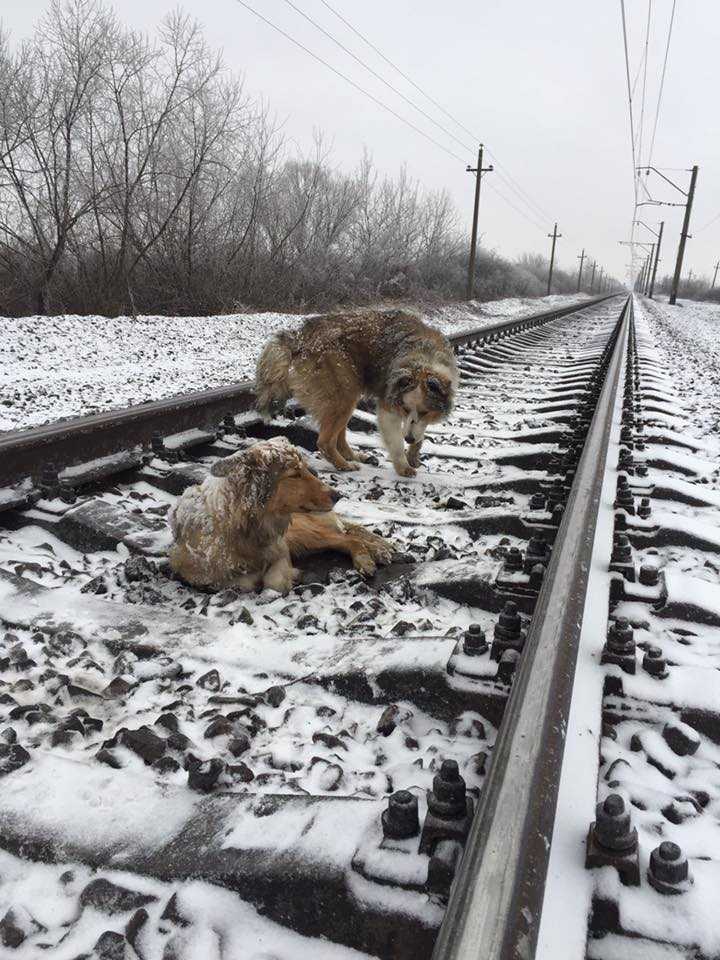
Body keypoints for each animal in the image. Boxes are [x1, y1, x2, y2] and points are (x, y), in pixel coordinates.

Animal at [169, 436, 394, 592]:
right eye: (294, 474)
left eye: (305, 469)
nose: (338, 495)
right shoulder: (195, 572)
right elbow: (241, 582)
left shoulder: (281, 547)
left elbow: (273, 582)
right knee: (346, 537)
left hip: (303, 533)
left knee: (348, 538)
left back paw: (369, 557)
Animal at [255, 312, 456, 476]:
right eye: (405, 409)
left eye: (425, 412)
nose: (409, 438)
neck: (423, 361)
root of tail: (299, 337)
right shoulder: (388, 406)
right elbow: (396, 442)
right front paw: (403, 466)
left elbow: (419, 431)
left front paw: (413, 453)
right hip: (344, 392)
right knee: (325, 442)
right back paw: (344, 465)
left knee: (339, 437)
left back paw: (354, 457)